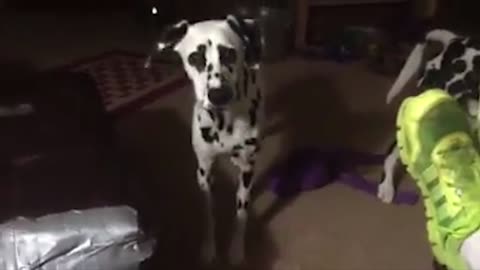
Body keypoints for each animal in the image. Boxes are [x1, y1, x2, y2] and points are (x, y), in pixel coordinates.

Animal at [150, 13, 262, 266]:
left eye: (230, 53)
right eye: (195, 58)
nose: (219, 94)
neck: (224, 122)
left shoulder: (247, 169)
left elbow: (242, 211)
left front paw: (236, 250)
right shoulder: (204, 171)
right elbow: (208, 214)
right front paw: (209, 249)